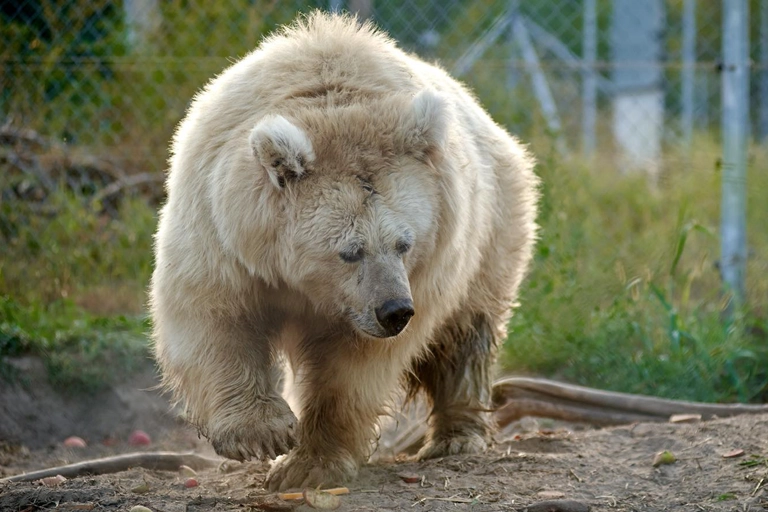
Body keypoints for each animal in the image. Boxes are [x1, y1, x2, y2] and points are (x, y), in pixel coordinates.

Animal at [150, 11, 539, 491]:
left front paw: (308, 463)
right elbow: (214, 316)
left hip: (494, 227)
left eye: (405, 243)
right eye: (350, 250)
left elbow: (353, 368)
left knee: (466, 333)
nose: (395, 311)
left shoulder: (421, 269)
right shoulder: (221, 232)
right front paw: (261, 432)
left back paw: (457, 435)